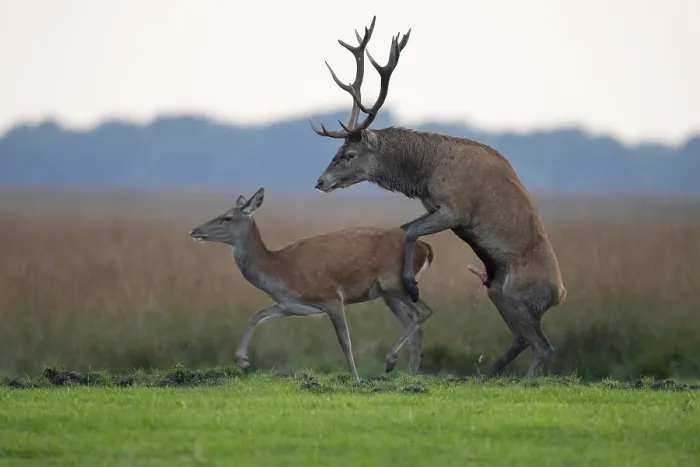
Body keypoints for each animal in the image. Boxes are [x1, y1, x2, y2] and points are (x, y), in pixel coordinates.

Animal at [189, 187, 437, 383]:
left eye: (228, 217)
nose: (194, 230)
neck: (280, 271)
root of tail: (425, 248)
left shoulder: (331, 296)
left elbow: (345, 341)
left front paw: (356, 380)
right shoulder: (289, 305)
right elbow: (257, 315)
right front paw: (242, 361)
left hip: (394, 282)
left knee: (424, 311)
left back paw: (391, 360)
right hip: (388, 293)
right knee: (417, 328)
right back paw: (408, 377)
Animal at [309, 17, 567, 379]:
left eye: (349, 153)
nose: (320, 181)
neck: (426, 172)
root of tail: (559, 295)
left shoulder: (457, 209)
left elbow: (411, 231)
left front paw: (412, 290)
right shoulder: (433, 206)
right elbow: (405, 228)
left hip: (520, 298)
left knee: (544, 348)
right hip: (497, 292)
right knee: (521, 341)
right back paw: (484, 376)